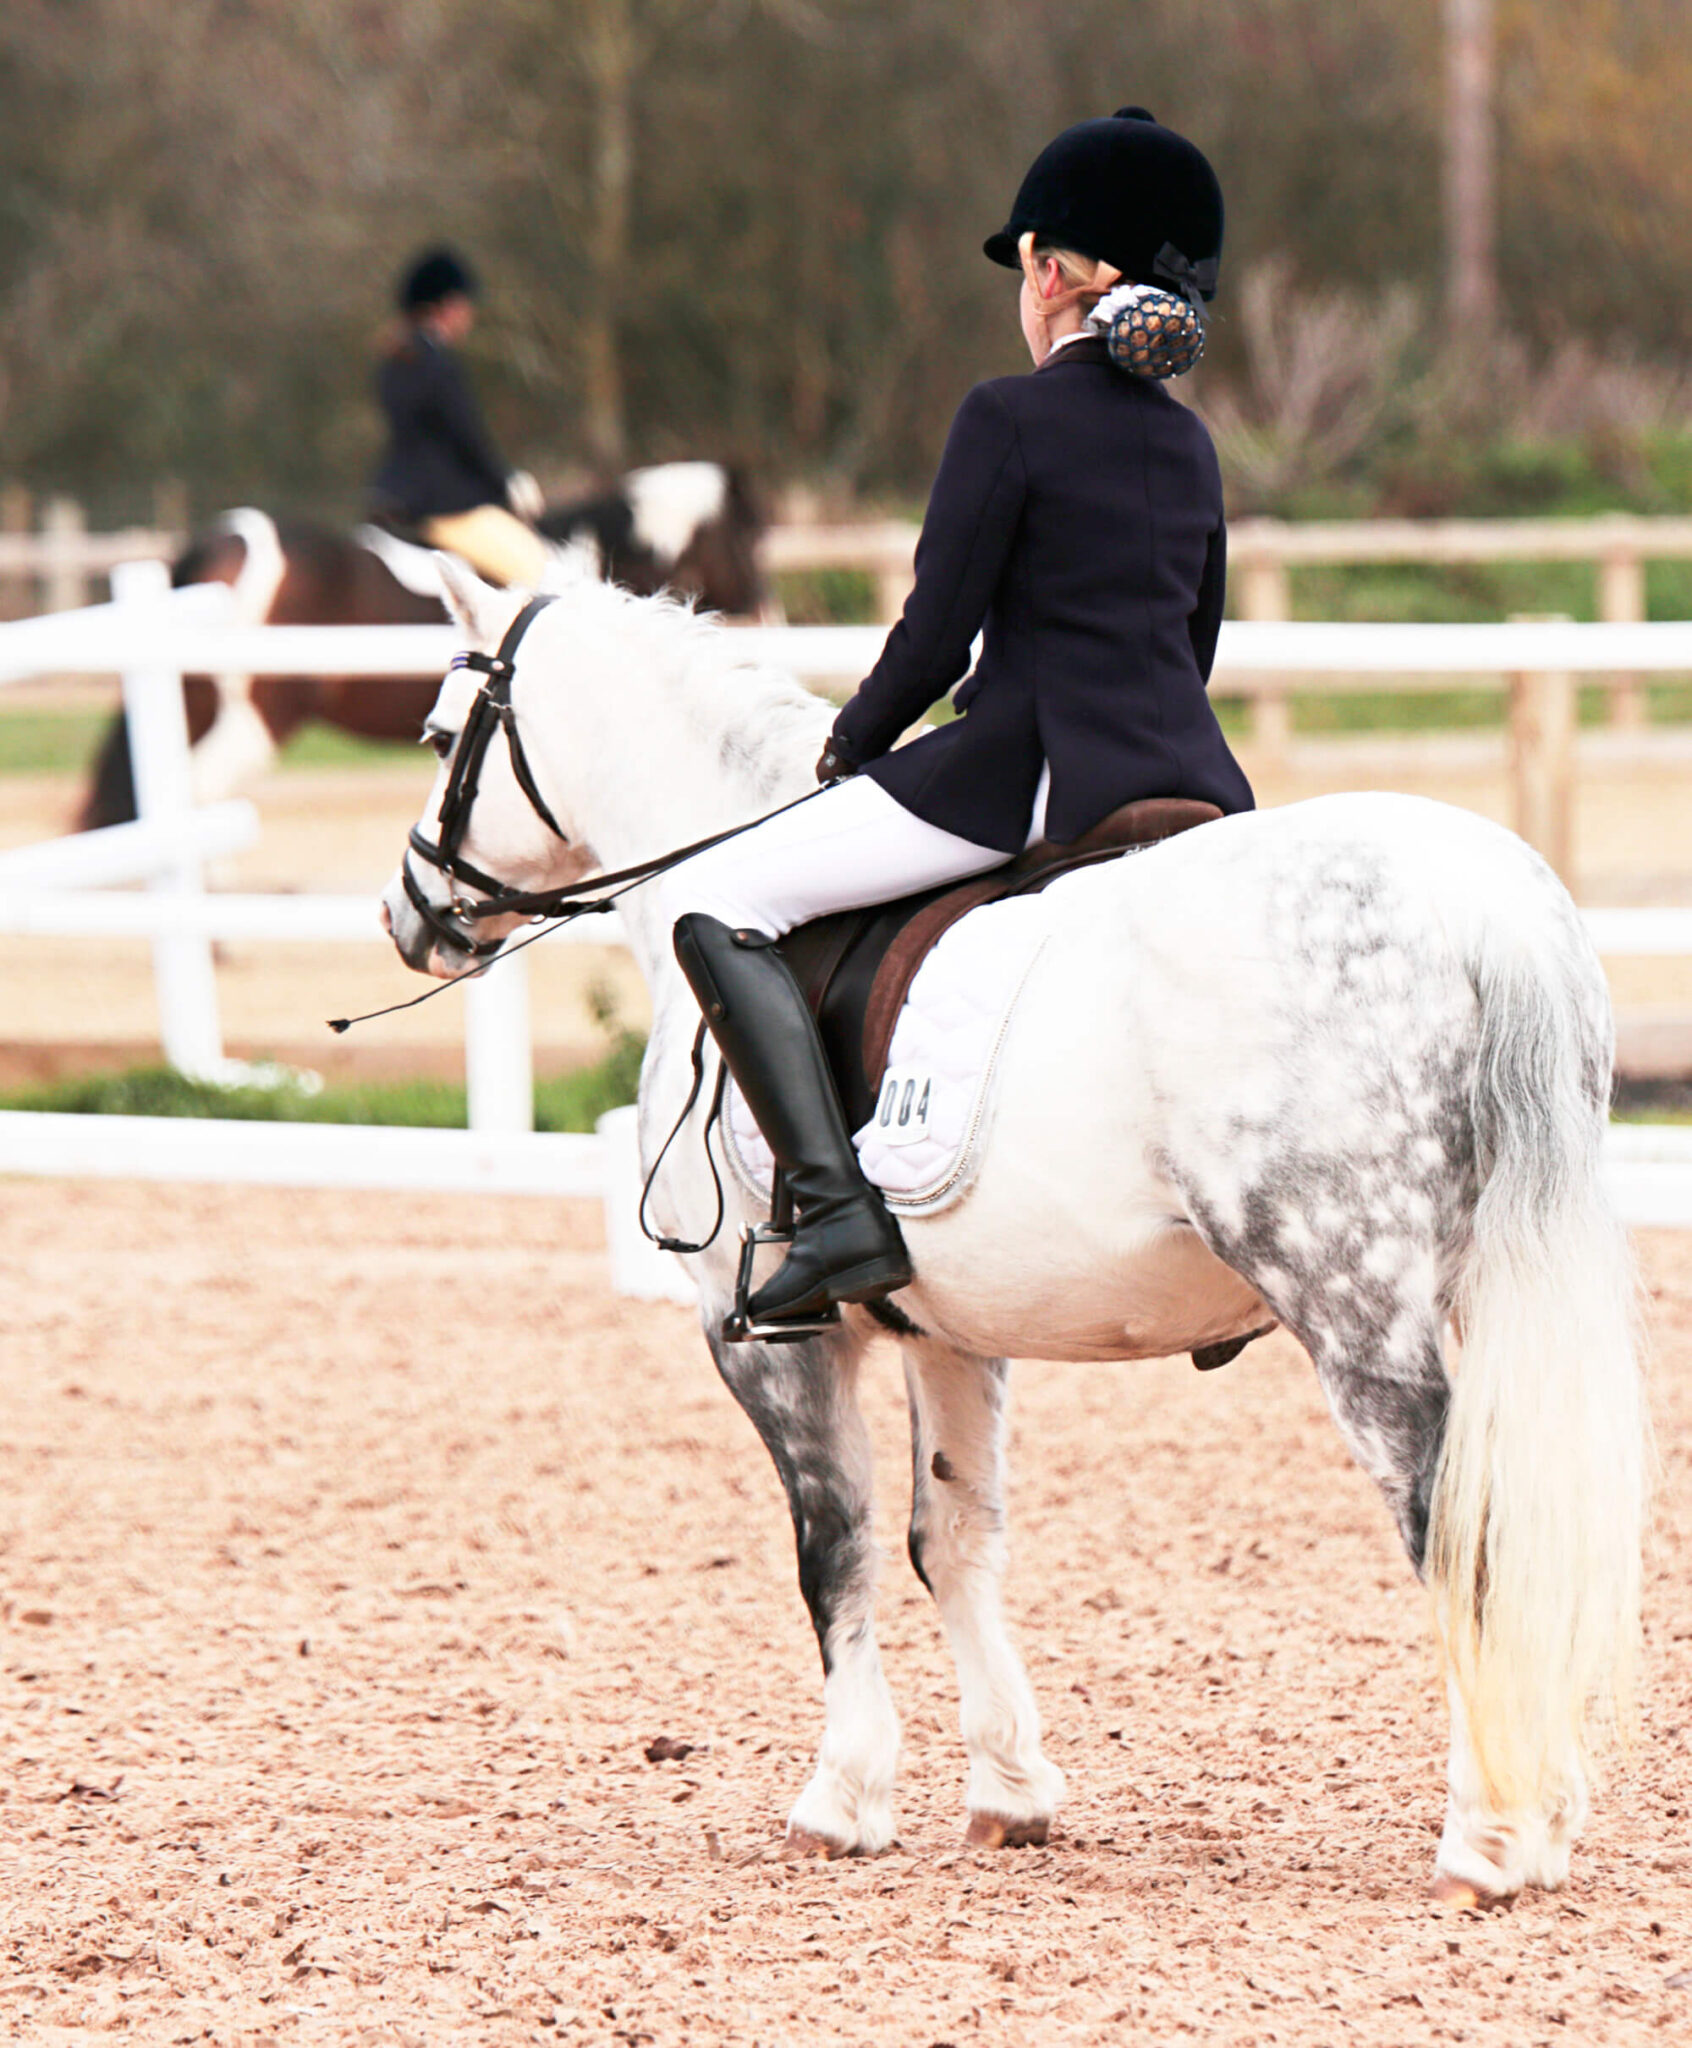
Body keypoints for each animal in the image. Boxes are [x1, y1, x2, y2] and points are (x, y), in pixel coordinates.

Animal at [377, 561, 1647, 1903]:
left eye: (439, 736)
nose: (411, 913)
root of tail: (1490, 905)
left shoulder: (763, 1334)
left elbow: (837, 1543)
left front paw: (841, 1797)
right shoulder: (951, 1331)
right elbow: (953, 1538)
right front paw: (1010, 1789)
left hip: (1354, 1308)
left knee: (1460, 1532)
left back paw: (1488, 1838)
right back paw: (1542, 1810)